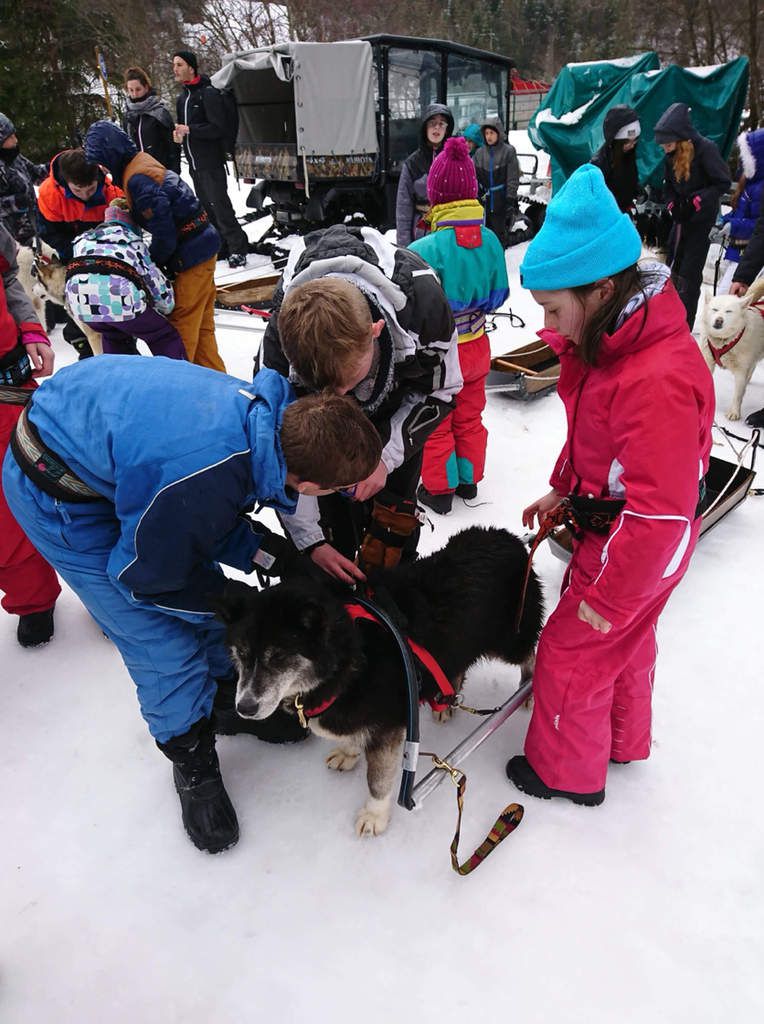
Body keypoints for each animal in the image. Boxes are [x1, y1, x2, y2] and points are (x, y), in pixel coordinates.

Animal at [217, 526, 544, 838]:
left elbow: (379, 779)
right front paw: (349, 751)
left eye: (279, 657)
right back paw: (444, 700)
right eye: (241, 654)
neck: (352, 652)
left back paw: (528, 691)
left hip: (509, 640)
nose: (244, 708)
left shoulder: (387, 727)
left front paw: (375, 815)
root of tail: (510, 539)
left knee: (531, 654)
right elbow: (352, 734)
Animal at [699, 277, 764, 420]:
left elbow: (738, 394)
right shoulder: (708, 361)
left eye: (729, 311)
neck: (724, 341)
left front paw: (734, 412)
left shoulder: (741, 371)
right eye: (715, 309)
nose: (719, 320)